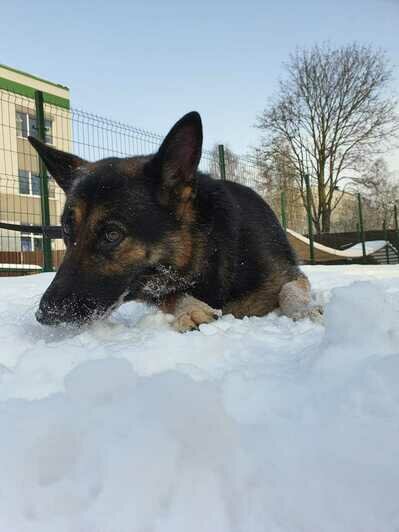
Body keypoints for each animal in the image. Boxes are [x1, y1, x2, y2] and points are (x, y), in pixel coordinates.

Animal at [29, 111, 320, 330]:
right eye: (67, 230)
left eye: (112, 235)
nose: (45, 313)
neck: (210, 251)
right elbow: (171, 294)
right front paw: (189, 309)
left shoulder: (291, 274)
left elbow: (290, 289)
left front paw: (305, 309)